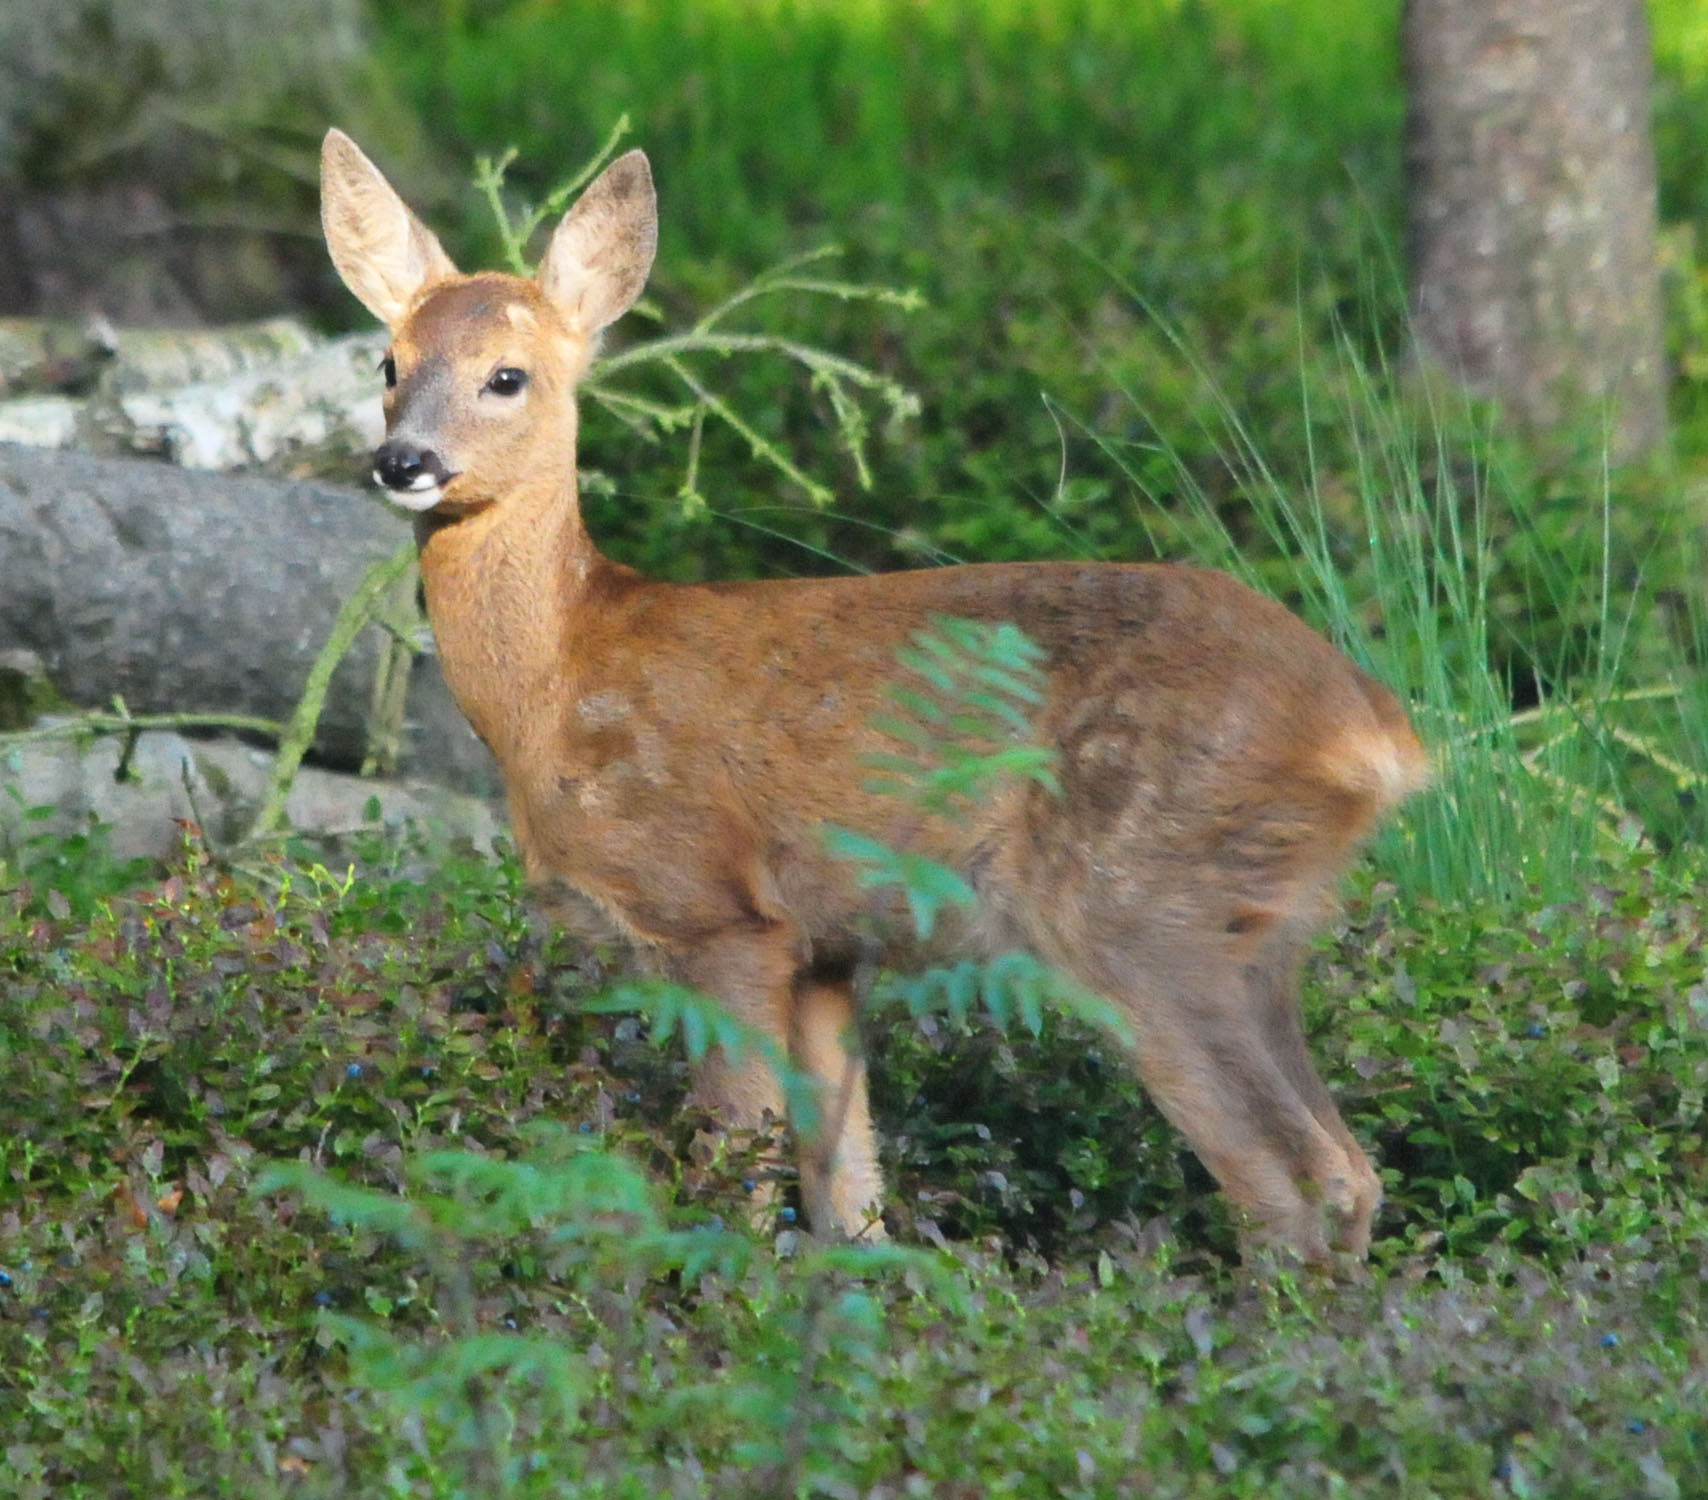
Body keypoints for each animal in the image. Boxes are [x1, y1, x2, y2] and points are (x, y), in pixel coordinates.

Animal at [317, 128, 1427, 1264]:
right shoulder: (825, 949)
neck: (559, 682)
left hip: (1146, 902)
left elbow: (735, 1157)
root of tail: (1373, 727)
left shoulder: (716, 905)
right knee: (1350, 1169)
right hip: (1261, 925)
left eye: (508, 376)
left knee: (1292, 1178)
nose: (403, 460)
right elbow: (848, 1191)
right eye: (388, 364)